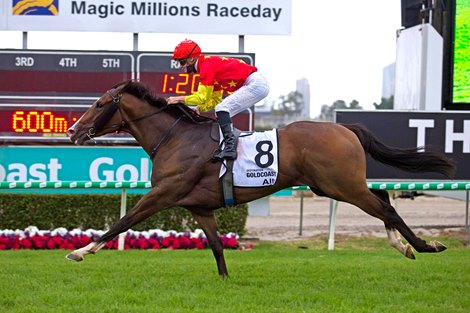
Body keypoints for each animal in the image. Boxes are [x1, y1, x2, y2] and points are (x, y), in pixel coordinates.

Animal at [65, 80, 456, 276]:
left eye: (100, 104)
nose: (71, 130)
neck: (176, 139)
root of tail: (345, 128)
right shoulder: (199, 207)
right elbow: (217, 246)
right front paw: (226, 282)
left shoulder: (164, 192)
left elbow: (123, 221)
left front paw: (81, 251)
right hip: (335, 185)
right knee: (385, 199)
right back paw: (403, 245)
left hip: (341, 185)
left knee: (385, 209)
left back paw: (424, 245)